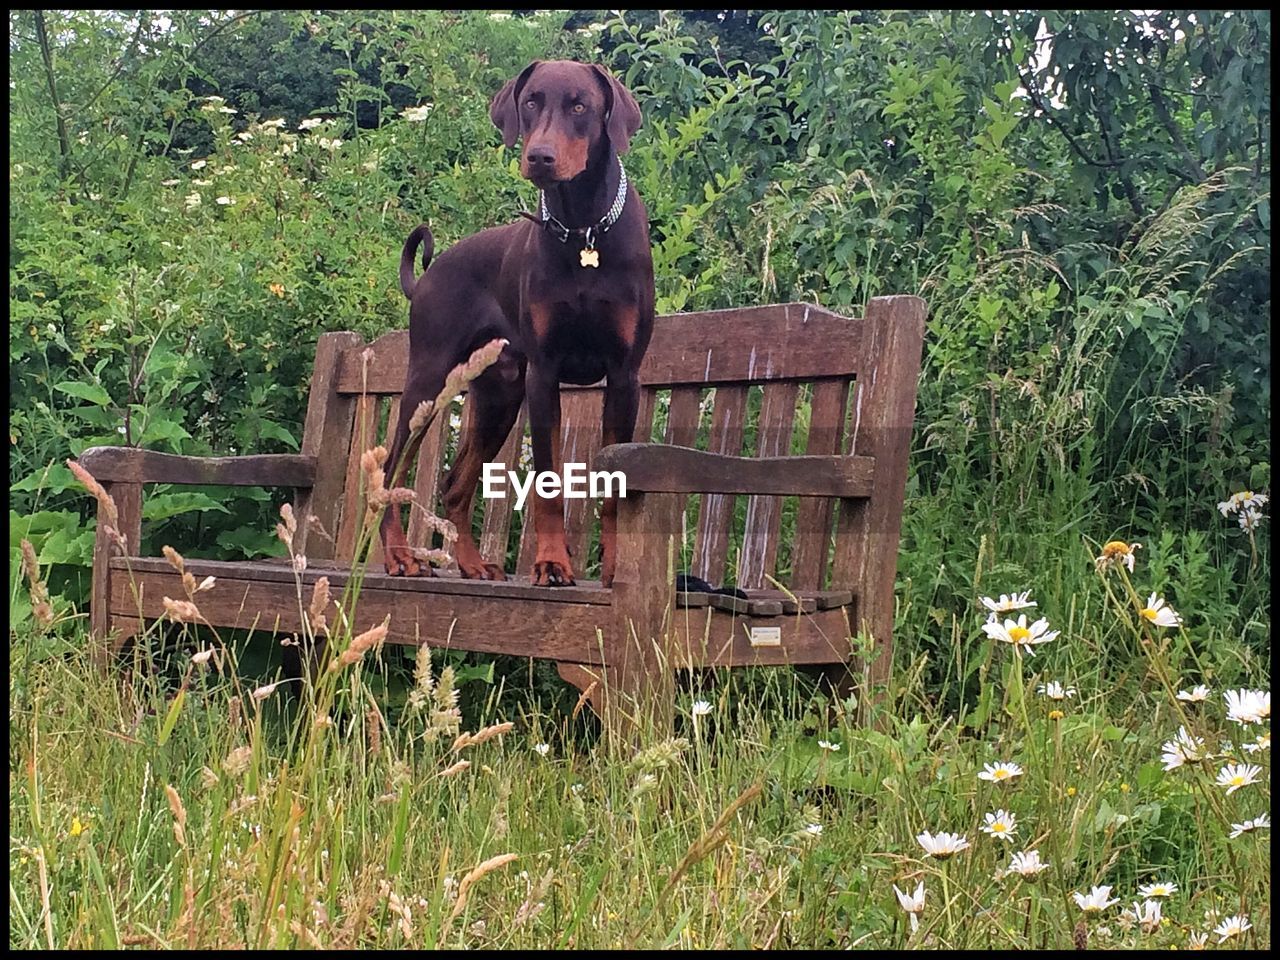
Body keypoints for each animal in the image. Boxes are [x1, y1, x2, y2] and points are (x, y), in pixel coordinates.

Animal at [378, 62, 655, 586]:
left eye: (580, 104)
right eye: (530, 102)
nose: (539, 156)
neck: (584, 231)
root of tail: (427, 277)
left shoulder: (624, 375)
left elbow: (615, 484)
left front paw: (614, 567)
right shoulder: (544, 373)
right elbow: (548, 481)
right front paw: (551, 563)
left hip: (498, 395)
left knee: (454, 483)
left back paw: (470, 563)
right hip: (429, 383)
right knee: (391, 470)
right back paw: (400, 555)